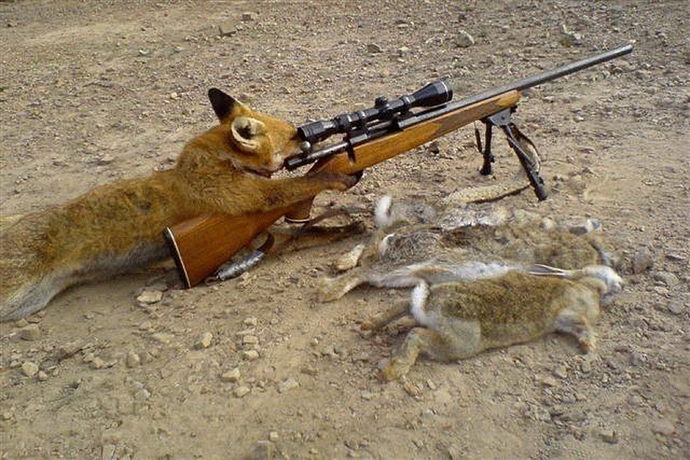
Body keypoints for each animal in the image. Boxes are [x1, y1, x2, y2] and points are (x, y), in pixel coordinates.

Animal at [0, 89, 357, 321]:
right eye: (296, 135)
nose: (310, 135)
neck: (219, 161)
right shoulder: (249, 197)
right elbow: (303, 184)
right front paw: (340, 176)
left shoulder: (256, 232)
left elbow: (310, 234)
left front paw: (349, 228)